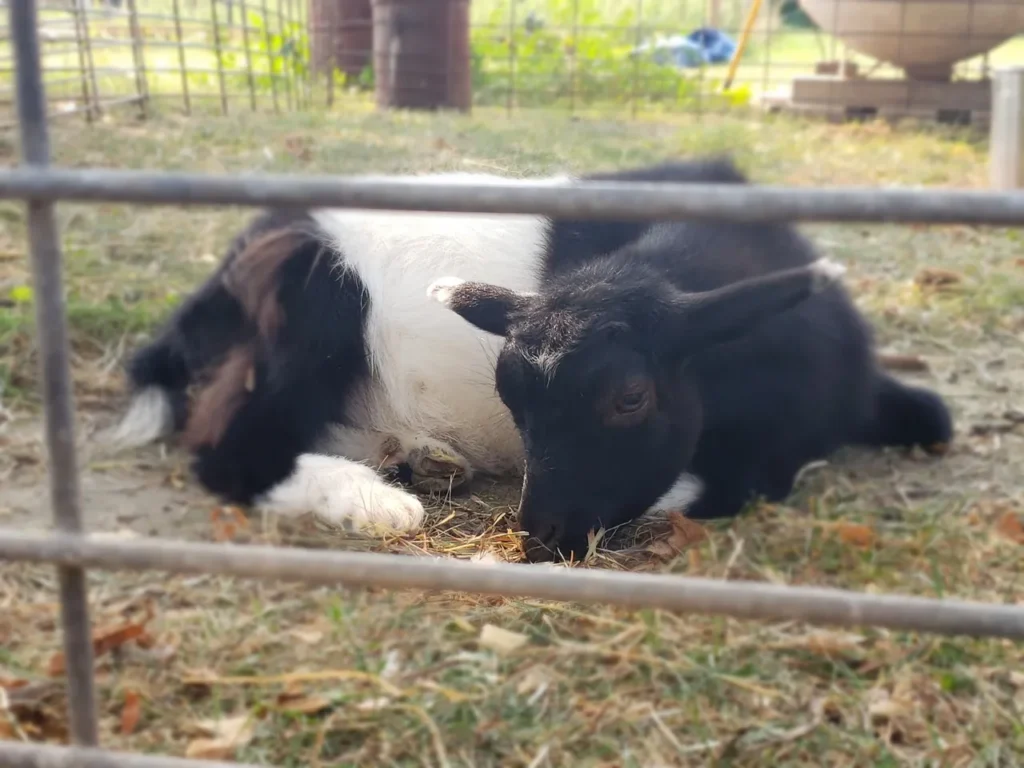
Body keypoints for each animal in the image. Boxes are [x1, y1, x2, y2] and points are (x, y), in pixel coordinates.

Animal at [110, 158, 953, 562]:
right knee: (231, 448)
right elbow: (713, 485)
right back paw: (374, 501)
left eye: (629, 397)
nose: (541, 534)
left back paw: (420, 457)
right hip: (310, 312)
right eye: (510, 399)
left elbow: (936, 417)